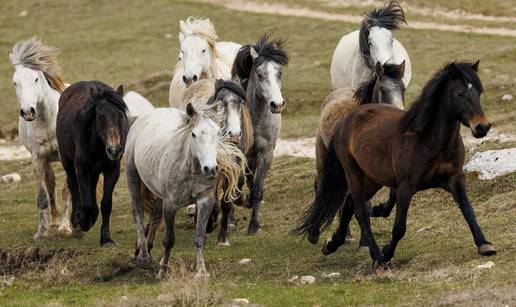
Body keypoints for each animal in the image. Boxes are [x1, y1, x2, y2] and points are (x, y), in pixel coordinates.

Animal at [9, 37, 71, 241]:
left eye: (36, 78)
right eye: (15, 82)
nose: (28, 112)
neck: (47, 121)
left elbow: (67, 190)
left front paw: (65, 228)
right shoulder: (38, 158)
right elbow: (42, 196)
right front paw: (41, 232)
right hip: (48, 161)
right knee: (50, 183)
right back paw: (53, 221)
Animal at [55, 80, 129, 247]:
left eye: (120, 115)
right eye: (100, 116)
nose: (114, 150)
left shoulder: (112, 170)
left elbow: (106, 204)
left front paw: (106, 239)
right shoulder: (82, 168)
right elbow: (88, 203)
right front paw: (83, 221)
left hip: (94, 171)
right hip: (68, 162)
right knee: (73, 185)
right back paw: (77, 221)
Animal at [126, 100, 245, 280]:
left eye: (218, 132)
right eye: (194, 134)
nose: (210, 168)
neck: (189, 168)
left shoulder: (205, 201)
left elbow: (199, 237)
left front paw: (201, 271)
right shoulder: (171, 204)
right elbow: (169, 240)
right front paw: (163, 271)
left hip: (159, 194)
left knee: (155, 215)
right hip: (132, 176)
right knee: (138, 213)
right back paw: (144, 257)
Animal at [298, 61, 496, 266]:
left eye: (478, 93)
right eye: (459, 93)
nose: (482, 127)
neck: (430, 141)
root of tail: (347, 119)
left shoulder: (456, 179)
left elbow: (468, 209)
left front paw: (484, 244)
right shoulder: (406, 187)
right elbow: (399, 228)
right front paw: (385, 253)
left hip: (372, 178)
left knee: (349, 204)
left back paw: (332, 243)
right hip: (352, 172)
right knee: (358, 210)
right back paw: (374, 254)